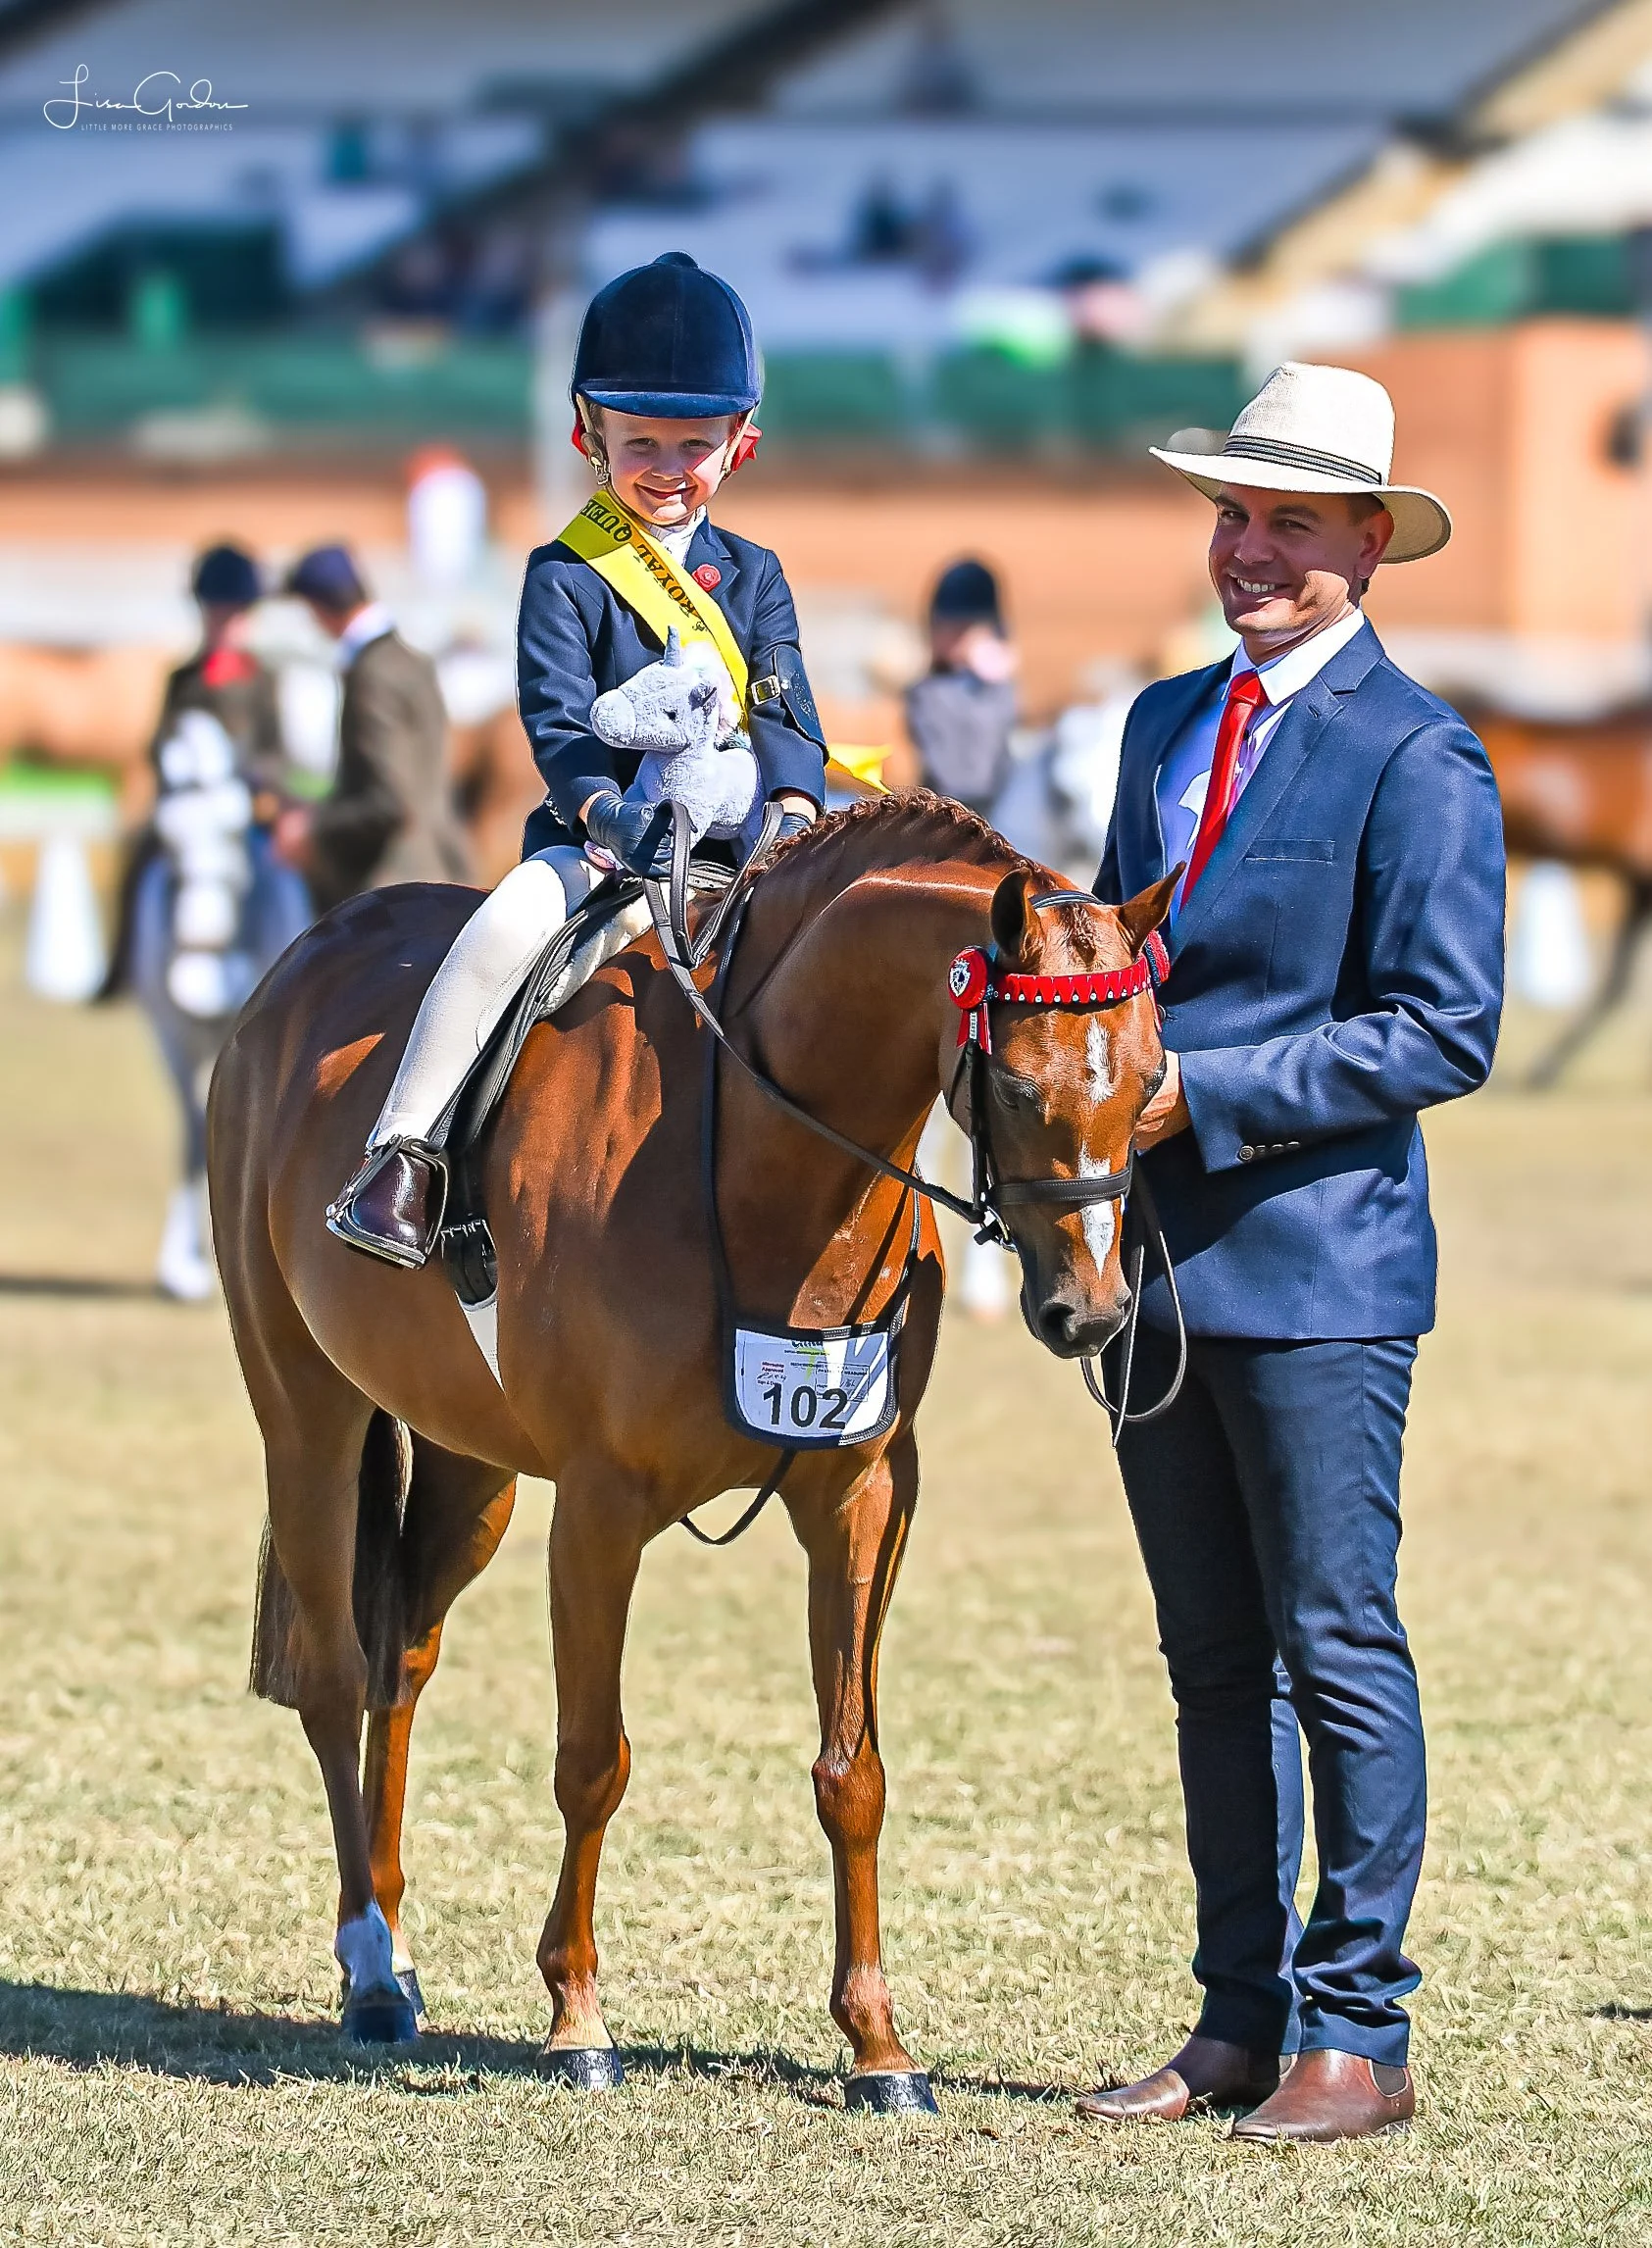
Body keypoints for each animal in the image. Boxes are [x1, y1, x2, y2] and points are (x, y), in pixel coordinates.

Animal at [207, 790, 1174, 2103]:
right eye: (1019, 1089)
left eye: (1152, 1079)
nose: (1091, 1313)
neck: (772, 1165)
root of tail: (303, 959)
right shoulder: (600, 1507)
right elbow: (591, 1759)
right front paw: (577, 2019)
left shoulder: (865, 1493)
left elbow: (852, 1770)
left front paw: (877, 2045)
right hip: (304, 1414)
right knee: (332, 1673)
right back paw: (365, 1966)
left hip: (470, 1467)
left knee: (399, 1660)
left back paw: (398, 1957)